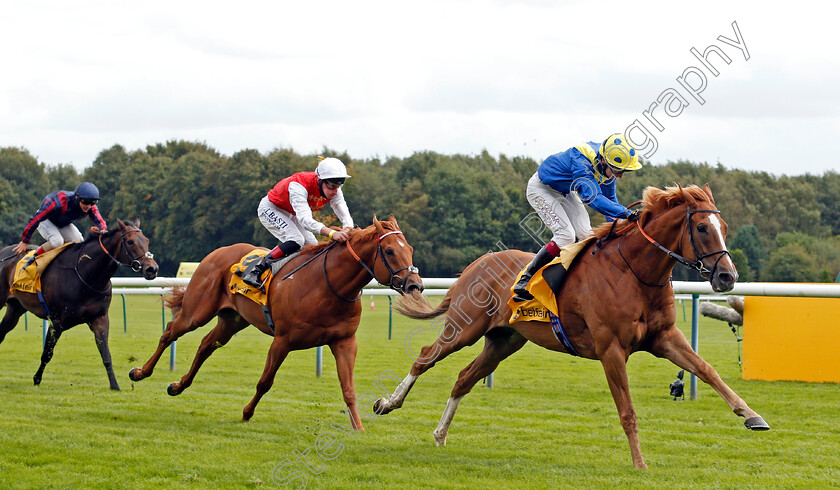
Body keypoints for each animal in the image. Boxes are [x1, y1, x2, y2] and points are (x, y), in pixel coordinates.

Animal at [0, 220, 158, 392]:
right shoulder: (57, 322)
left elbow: (106, 354)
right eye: (130, 242)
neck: (87, 276)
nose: (152, 269)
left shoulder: (100, 318)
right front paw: (36, 379)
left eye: (147, 240)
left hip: (16, 308)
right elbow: (47, 353)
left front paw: (115, 385)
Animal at [129, 214, 424, 428]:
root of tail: (219, 251)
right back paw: (140, 372)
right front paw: (247, 413)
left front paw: (359, 428)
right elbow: (265, 382)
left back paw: (178, 386)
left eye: (409, 249)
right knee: (171, 332)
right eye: (389, 251)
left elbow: (348, 389)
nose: (415, 285)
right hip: (197, 311)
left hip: (232, 320)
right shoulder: (283, 340)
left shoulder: (344, 342)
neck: (327, 286)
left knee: (206, 345)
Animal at [374, 186, 768, 468]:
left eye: (724, 228)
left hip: (504, 341)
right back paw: (388, 402)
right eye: (701, 228)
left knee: (464, 378)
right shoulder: (611, 350)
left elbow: (707, 369)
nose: (727, 276)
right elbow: (627, 411)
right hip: (465, 327)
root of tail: (475, 266)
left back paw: (440, 434)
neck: (634, 273)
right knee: (425, 356)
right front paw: (639, 464)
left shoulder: (665, 338)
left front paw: (752, 416)